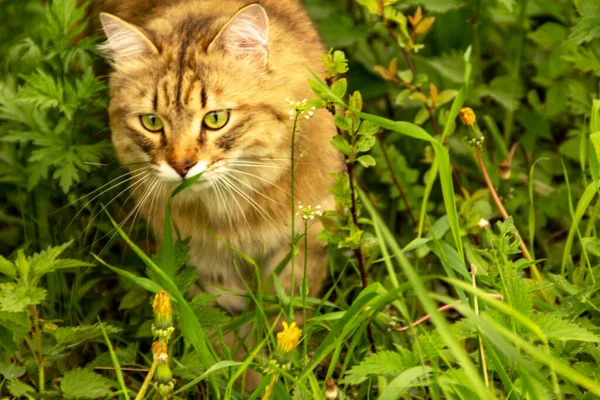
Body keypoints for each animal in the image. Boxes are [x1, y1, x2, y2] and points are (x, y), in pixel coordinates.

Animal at [92, 0, 342, 312]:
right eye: (152, 122)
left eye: (216, 119)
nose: (181, 166)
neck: (233, 211)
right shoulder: (204, 262)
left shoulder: (306, 241)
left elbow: (284, 313)